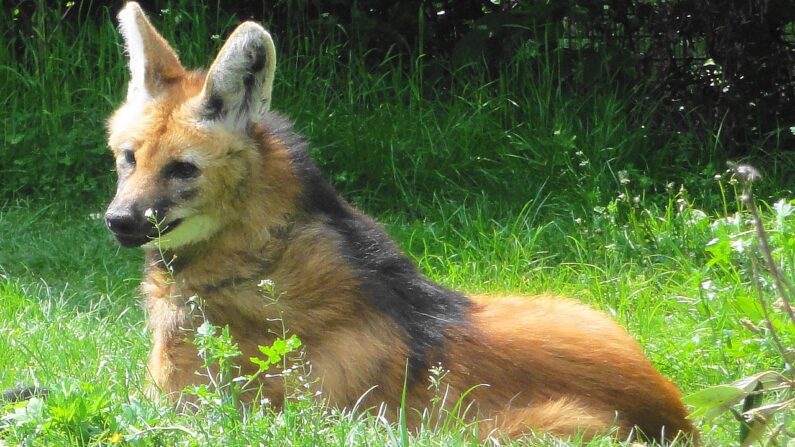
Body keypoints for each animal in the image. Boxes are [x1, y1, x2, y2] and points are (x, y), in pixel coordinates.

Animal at [104, 2, 696, 444]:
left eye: (183, 169)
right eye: (129, 158)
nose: (118, 221)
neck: (254, 254)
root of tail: (673, 415)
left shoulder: (184, 412)